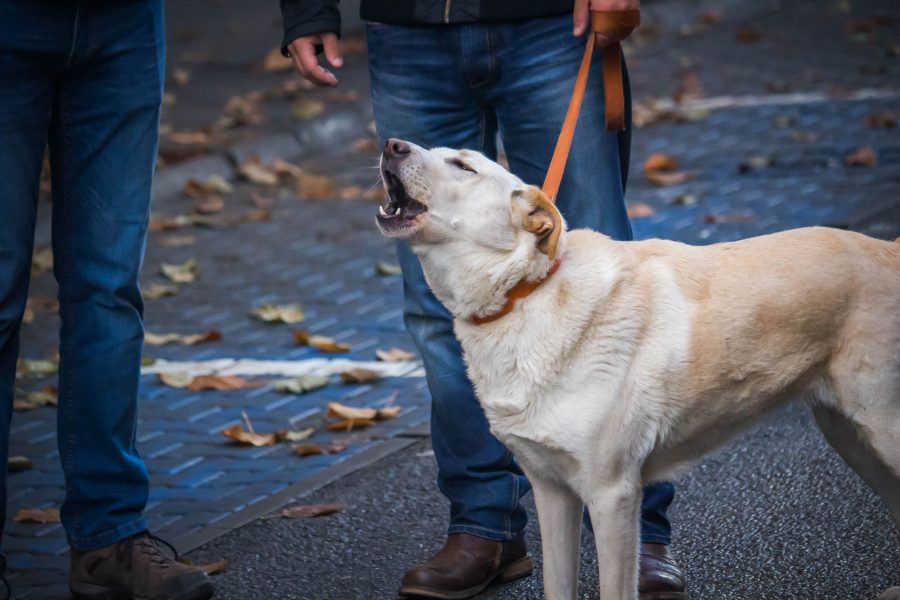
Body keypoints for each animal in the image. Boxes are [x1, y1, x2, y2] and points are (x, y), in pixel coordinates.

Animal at [376, 138, 900, 596]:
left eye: (464, 166)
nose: (391, 144)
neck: (525, 295)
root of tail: (890, 249)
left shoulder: (613, 495)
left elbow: (613, 588)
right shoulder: (551, 491)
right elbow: (557, 586)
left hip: (880, 430)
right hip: (850, 437)